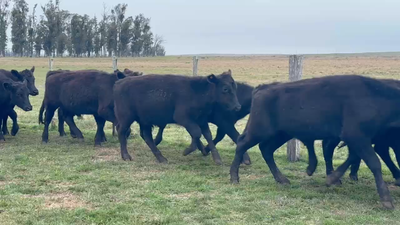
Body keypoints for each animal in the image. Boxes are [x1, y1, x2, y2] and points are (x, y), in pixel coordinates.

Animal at [114, 71, 242, 165]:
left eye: (235, 87)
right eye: (225, 89)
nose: (238, 106)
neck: (197, 92)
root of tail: (120, 82)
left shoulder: (201, 120)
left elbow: (208, 136)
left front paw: (216, 158)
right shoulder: (183, 118)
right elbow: (196, 133)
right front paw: (187, 151)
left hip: (144, 120)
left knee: (147, 136)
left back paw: (161, 158)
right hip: (126, 118)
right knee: (122, 132)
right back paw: (126, 155)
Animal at [230, 75, 400, 209]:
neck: (377, 98)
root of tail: (262, 88)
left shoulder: (364, 140)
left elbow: (355, 158)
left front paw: (333, 178)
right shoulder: (356, 137)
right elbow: (374, 163)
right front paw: (386, 199)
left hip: (282, 133)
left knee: (266, 149)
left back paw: (281, 179)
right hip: (258, 130)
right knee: (242, 144)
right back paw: (234, 177)